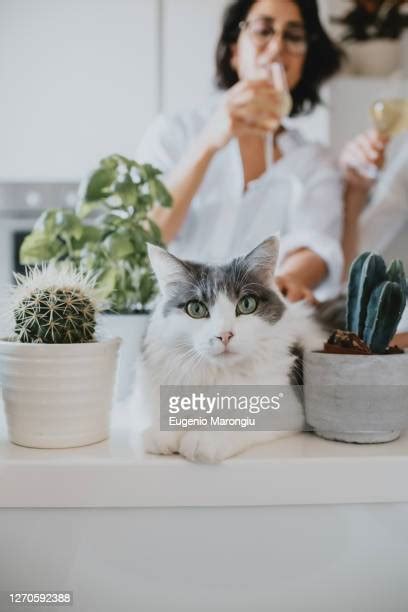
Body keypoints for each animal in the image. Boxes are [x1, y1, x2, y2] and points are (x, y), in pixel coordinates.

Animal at [139, 237, 324, 462]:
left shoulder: (289, 409)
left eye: (247, 304)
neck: (219, 375)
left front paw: (205, 439)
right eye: (196, 309)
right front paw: (162, 433)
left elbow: (241, 419)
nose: (225, 335)